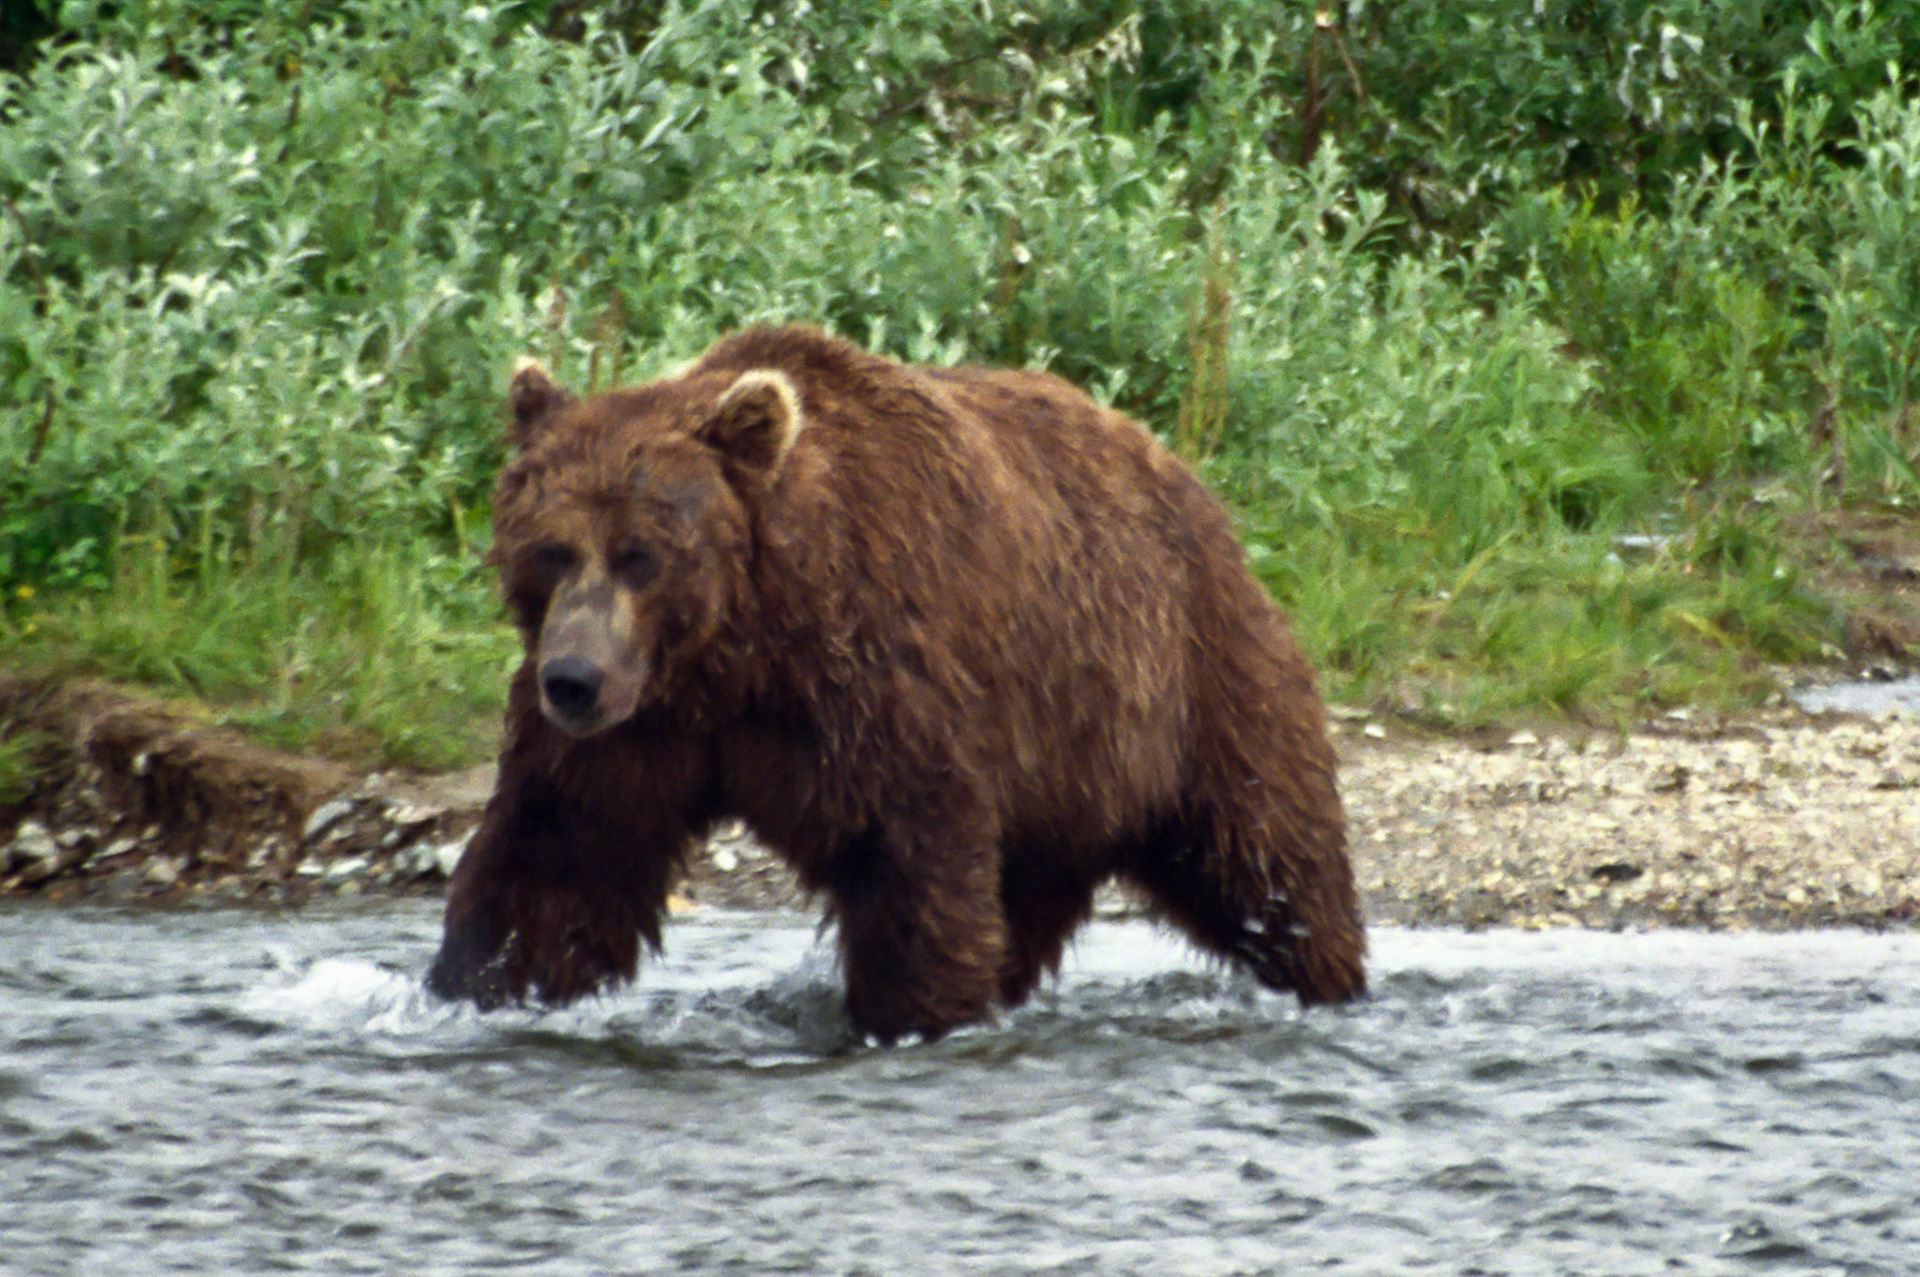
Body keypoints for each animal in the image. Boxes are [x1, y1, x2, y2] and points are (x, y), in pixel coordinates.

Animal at [426, 324, 1365, 1041]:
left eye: (641, 555)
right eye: (550, 550)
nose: (573, 680)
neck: (741, 650)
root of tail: (1189, 480)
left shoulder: (878, 678)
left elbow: (911, 852)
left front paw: (910, 1015)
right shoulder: (639, 732)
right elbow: (558, 857)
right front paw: (480, 989)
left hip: (1192, 679)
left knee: (1269, 853)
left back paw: (1327, 977)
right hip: (1061, 774)